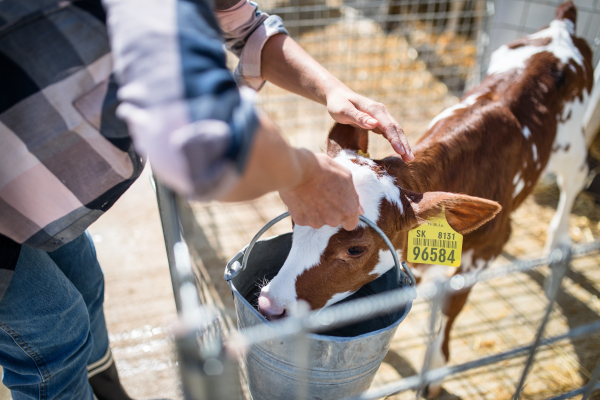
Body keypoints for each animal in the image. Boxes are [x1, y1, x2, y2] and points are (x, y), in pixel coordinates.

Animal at [258, 1, 596, 396]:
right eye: (295, 219)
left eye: (355, 249)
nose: (269, 305)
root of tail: (562, 24)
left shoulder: (490, 244)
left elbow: (452, 304)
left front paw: (434, 371)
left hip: (573, 145)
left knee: (576, 179)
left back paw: (558, 242)